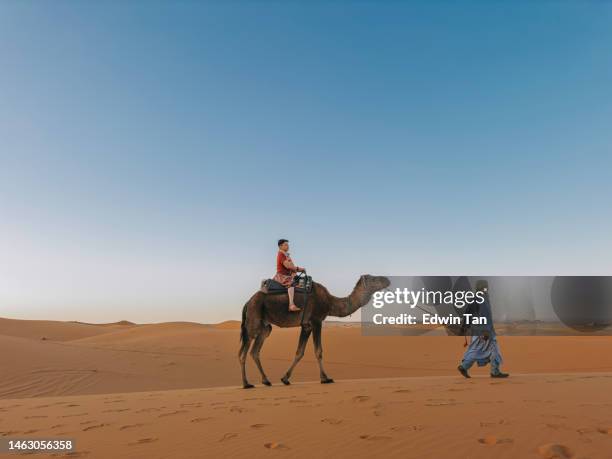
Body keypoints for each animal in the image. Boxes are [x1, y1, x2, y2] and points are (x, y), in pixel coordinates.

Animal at [238, 274, 388, 390]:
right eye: (374, 278)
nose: (387, 279)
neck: (330, 302)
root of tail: (248, 302)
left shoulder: (306, 326)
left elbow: (299, 352)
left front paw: (285, 378)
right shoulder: (316, 321)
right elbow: (318, 351)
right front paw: (325, 378)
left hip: (265, 327)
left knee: (255, 351)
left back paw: (266, 381)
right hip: (253, 320)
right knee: (243, 352)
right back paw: (246, 384)